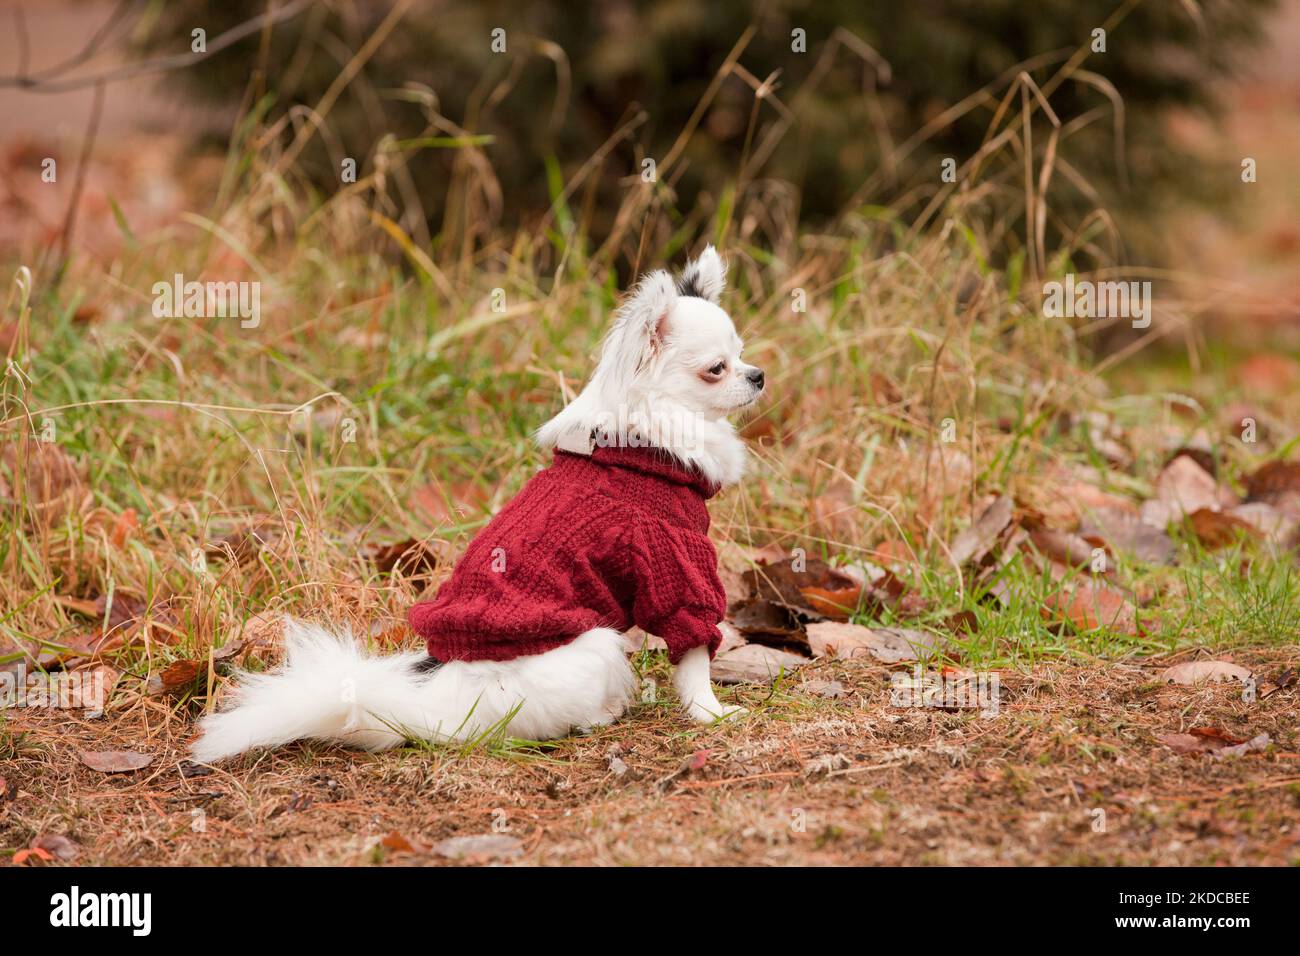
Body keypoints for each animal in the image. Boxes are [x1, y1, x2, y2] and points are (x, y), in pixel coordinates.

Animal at [192, 247, 759, 764]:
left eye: (742, 354)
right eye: (716, 368)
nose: (757, 375)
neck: (644, 442)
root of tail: (433, 704)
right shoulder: (674, 560)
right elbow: (693, 655)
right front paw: (711, 713)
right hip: (597, 644)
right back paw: (603, 713)